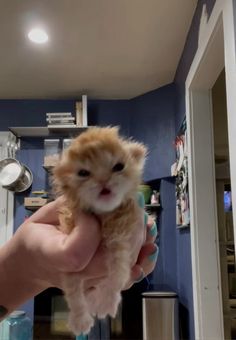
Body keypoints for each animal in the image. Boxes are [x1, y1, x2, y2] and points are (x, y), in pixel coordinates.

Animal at [52, 127, 147, 334]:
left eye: (118, 167)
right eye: (83, 173)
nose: (103, 180)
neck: (103, 215)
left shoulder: (122, 242)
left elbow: (117, 275)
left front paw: (107, 302)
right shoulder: (70, 262)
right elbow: (73, 292)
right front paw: (80, 319)